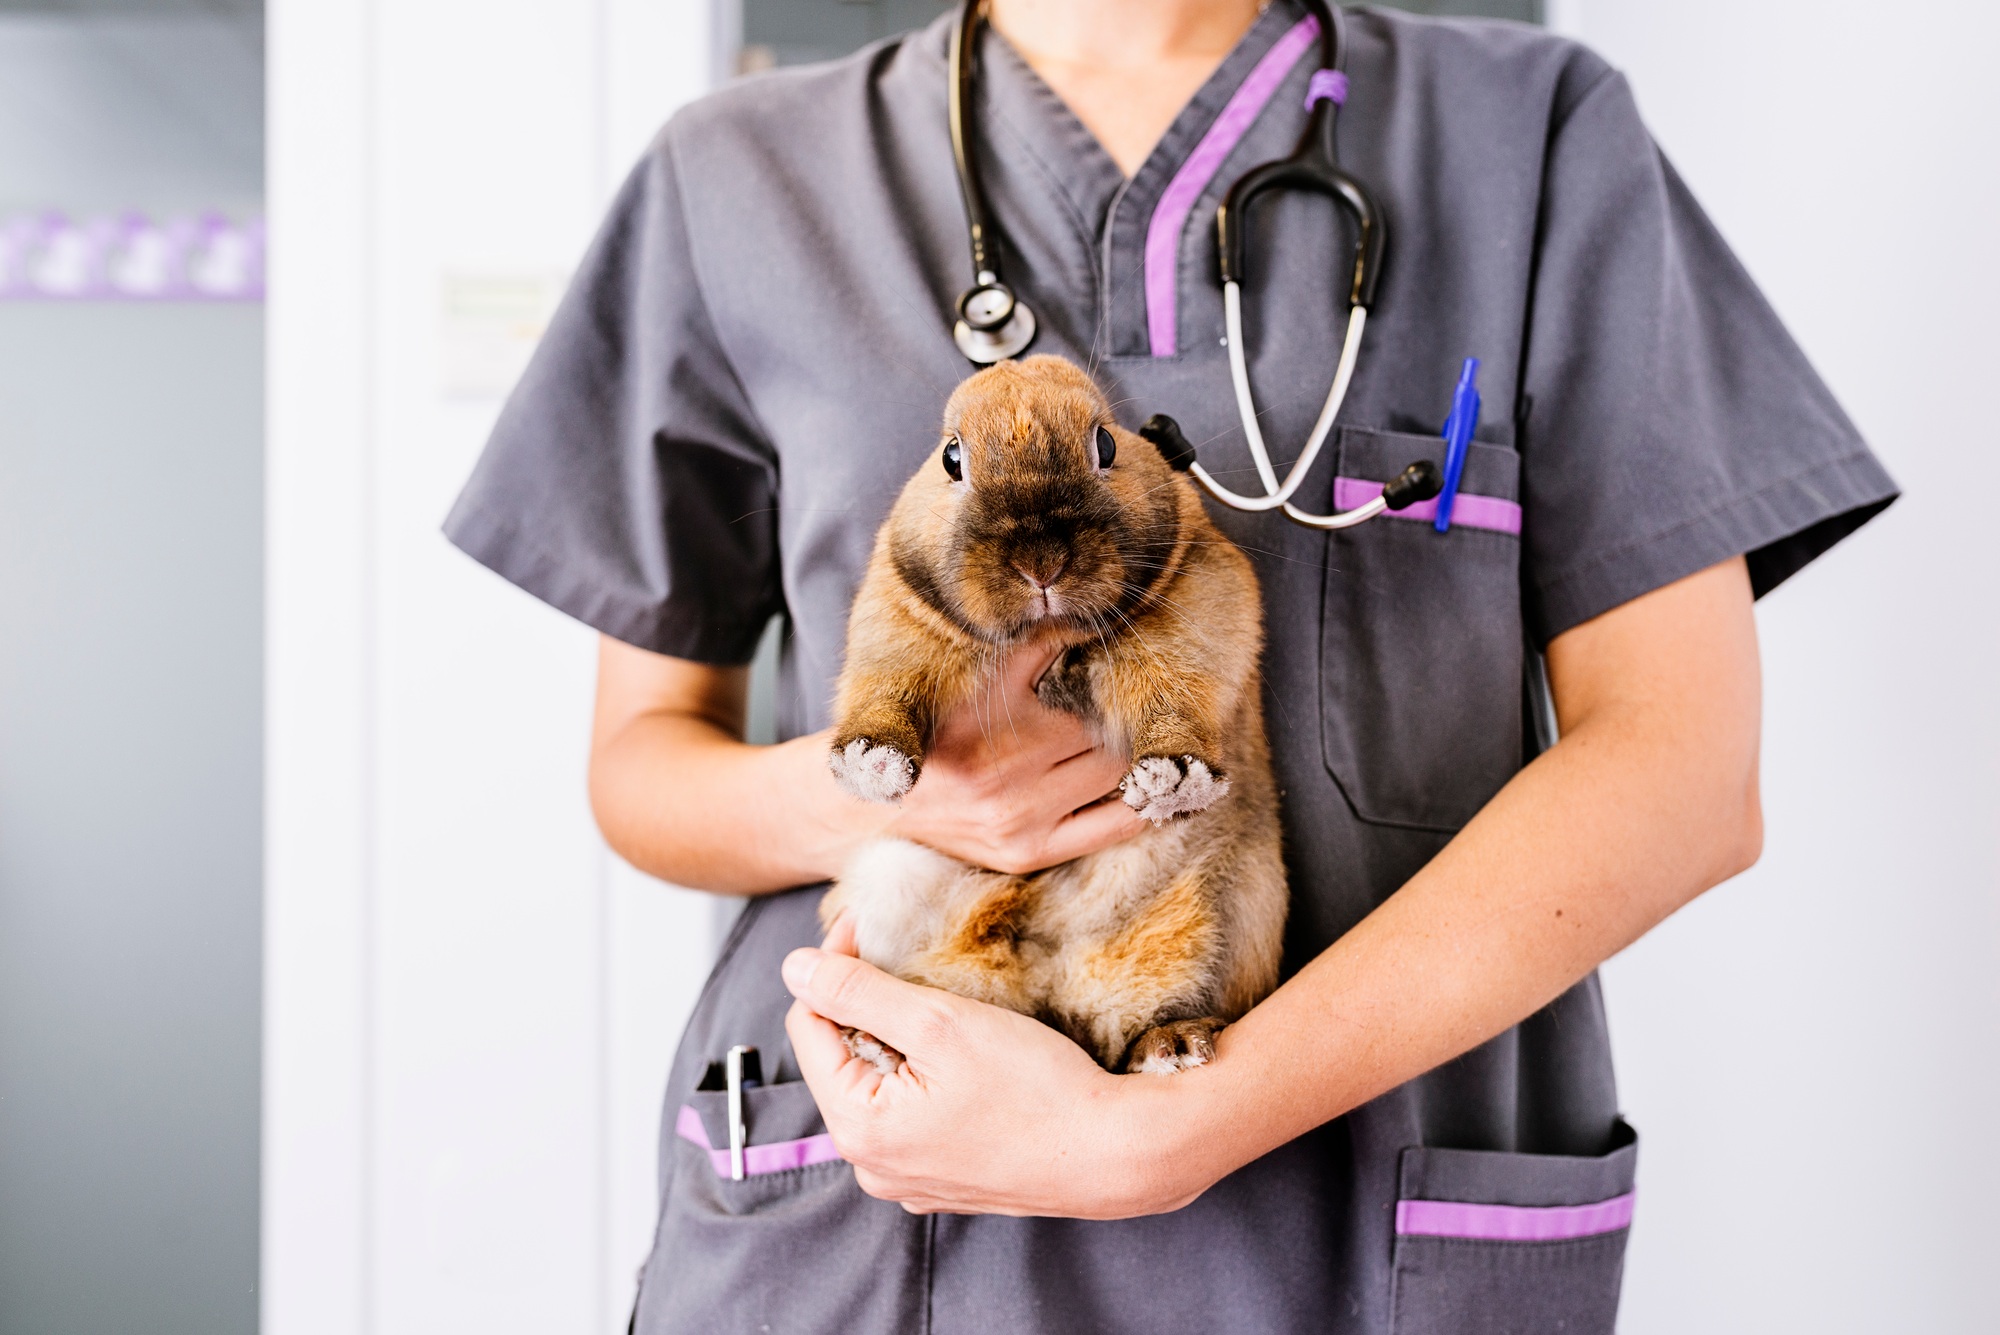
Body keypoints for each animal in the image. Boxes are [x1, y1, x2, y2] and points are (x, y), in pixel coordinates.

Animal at [820, 353, 1288, 1071]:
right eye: (952, 458)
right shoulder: (894, 620)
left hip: (1238, 911)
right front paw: (872, 765)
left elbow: (1176, 691)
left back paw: (1172, 1046)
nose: (1040, 561)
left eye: (1107, 445)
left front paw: (1172, 780)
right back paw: (880, 1043)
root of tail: (1053, 981)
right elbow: (884, 687)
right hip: (891, 884)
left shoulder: (1201, 599)